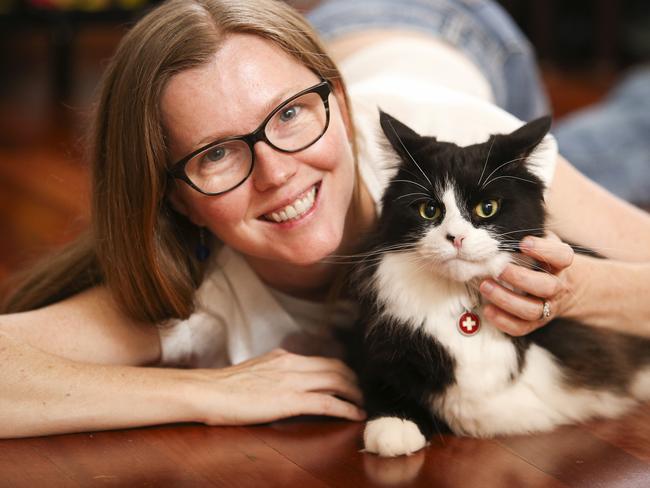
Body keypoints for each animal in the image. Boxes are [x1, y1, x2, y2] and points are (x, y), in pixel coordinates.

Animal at [352, 110, 648, 458]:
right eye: (429, 210)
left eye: (487, 208)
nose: (456, 237)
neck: (462, 298)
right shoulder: (379, 344)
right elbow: (386, 383)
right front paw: (394, 425)